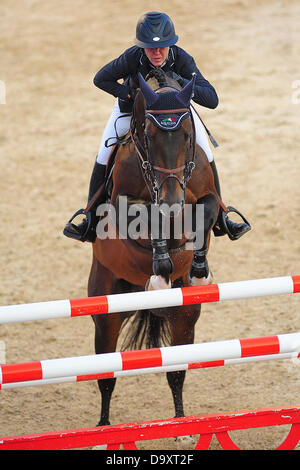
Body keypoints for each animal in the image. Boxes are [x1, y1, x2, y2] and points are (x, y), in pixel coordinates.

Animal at [88, 71, 219, 428]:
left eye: (187, 135)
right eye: (148, 135)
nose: (172, 199)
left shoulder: (206, 197)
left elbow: (204, 213)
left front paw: (198, 269)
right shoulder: (121, 206)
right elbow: (148, 216)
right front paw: (160, 268)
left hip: (184, 318)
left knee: (176, 373)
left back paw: (181, 425)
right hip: (107, 313)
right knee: (106, 377)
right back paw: (103, 428)